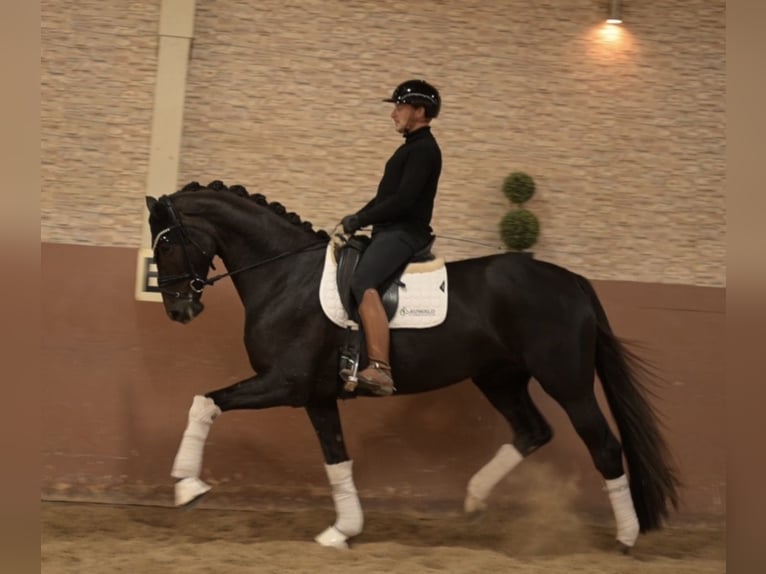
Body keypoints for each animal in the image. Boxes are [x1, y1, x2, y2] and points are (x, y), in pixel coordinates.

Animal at [145, 180, 679, 551]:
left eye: (166, 243)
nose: (179, 310)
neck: (284, 276)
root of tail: (572, 281)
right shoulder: (316, 396)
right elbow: (336, 458)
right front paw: (343, 530)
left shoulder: (284, 383)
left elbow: (204, 402)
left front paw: (188, 485)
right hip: (498, 377)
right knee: (533, 430)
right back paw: (474, 499)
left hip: (567, 383)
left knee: (604, 446)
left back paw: (626, 537)